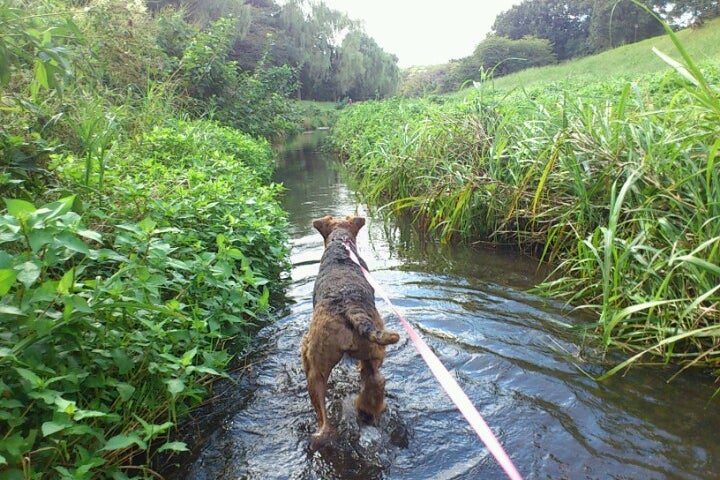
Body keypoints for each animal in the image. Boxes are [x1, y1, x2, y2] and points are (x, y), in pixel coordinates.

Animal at [300, 216, 400, 448]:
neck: (340, 243)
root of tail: (350, 307)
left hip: (316, 369)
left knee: (323, 417)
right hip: (374, 350)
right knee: (376, 380)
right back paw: (366, 410)